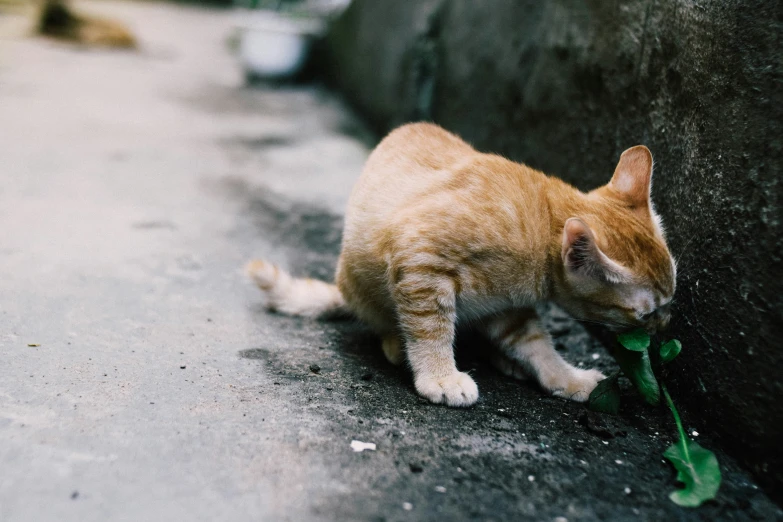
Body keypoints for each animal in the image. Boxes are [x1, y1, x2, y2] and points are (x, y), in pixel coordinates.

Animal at [248, 123, 676, 406]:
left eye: (670, 302)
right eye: (645, 313)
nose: (664, 325)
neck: (539, 223)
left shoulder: (509, 306)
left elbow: (537, 344)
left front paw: (563, 376)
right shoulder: (419, 259)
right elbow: (430, 328)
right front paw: (439, 375)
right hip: (363, 283)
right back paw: (396, 344)